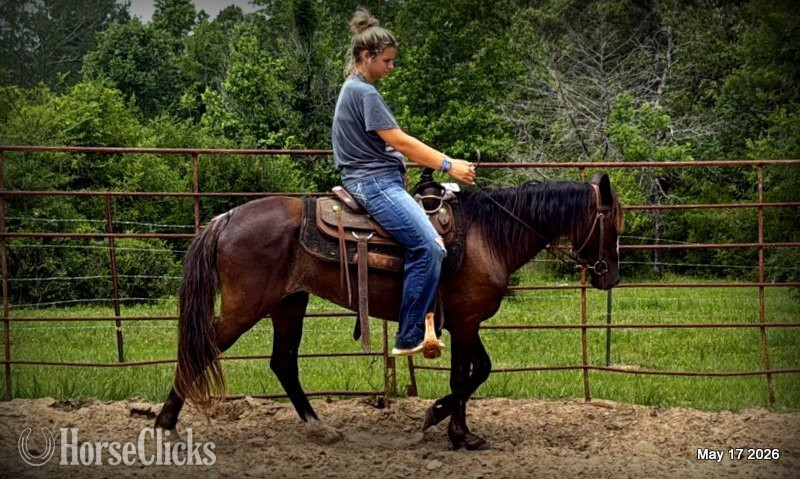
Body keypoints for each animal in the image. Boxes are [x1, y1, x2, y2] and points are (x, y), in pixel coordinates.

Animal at [154, 172, 624, 450]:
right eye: (614, 224)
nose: (612, 277)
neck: (487, 235)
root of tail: (226, 218)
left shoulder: (464, 321)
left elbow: (481, 370)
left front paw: (440, 416)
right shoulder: (466, 322)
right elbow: (463, 375)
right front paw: (457, 433)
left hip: (289, 304)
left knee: (283, 363)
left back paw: (319, 427)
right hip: (245, 307)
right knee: (200, 349)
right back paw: (165, 423)